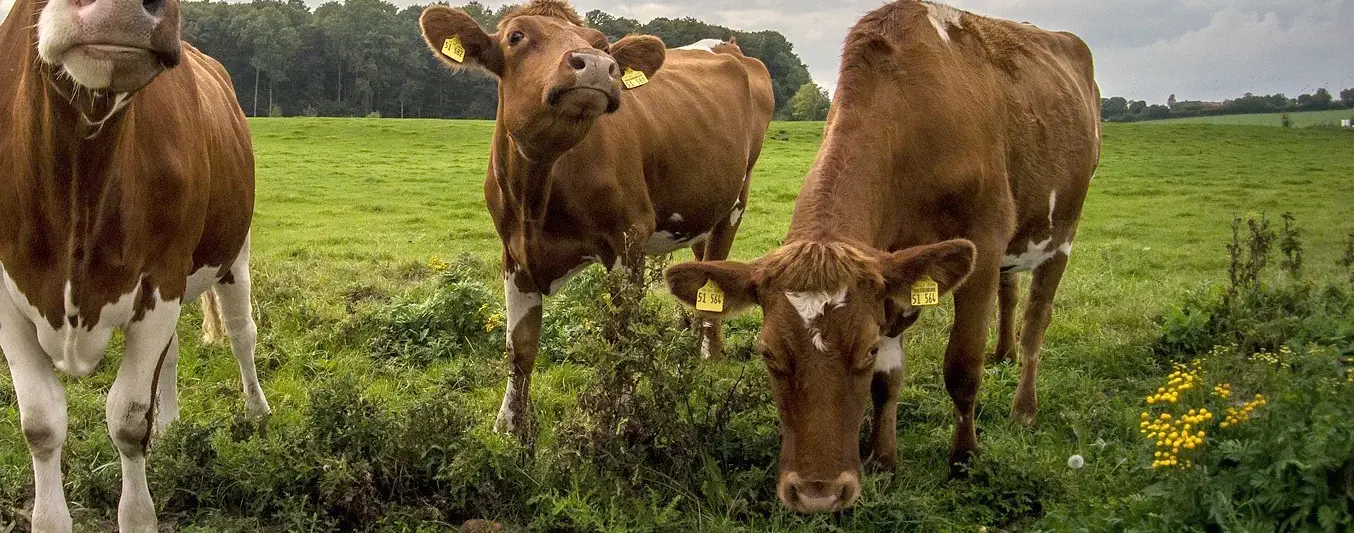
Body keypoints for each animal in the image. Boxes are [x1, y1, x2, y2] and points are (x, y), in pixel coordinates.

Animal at [0, 0, 271, 529]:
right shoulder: (4, 298)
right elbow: (41, 424)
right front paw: (50, 519)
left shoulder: (162, 278)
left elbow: (127, 418)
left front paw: (138, 516)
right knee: (175, 353)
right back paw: (169, 425)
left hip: (234, 250)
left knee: (241, 332)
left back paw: (256, 411)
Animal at [418, 0, 775, 438]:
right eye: (516, 36)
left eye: (602, 44)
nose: (597, 65)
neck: (538, 191)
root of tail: (727, 45)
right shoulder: (513, 252)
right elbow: (520, 346)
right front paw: (510, 425)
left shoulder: (629, 238)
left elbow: (621, 336)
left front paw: (622, 417)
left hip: (736, 201)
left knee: (715, 270)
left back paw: (709, 355)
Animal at [665, 0, 1100, 514]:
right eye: (767, 353)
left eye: (865, 348)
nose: (817, 493)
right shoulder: (892, 273)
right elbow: (887, 380)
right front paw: (883, 459)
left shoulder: (984, 244)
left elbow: (962, 367)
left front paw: (964, 459)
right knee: (1010, 293)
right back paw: (1004, 353)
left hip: (1062, 231)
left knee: (1037, 320)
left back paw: (1024, 408)